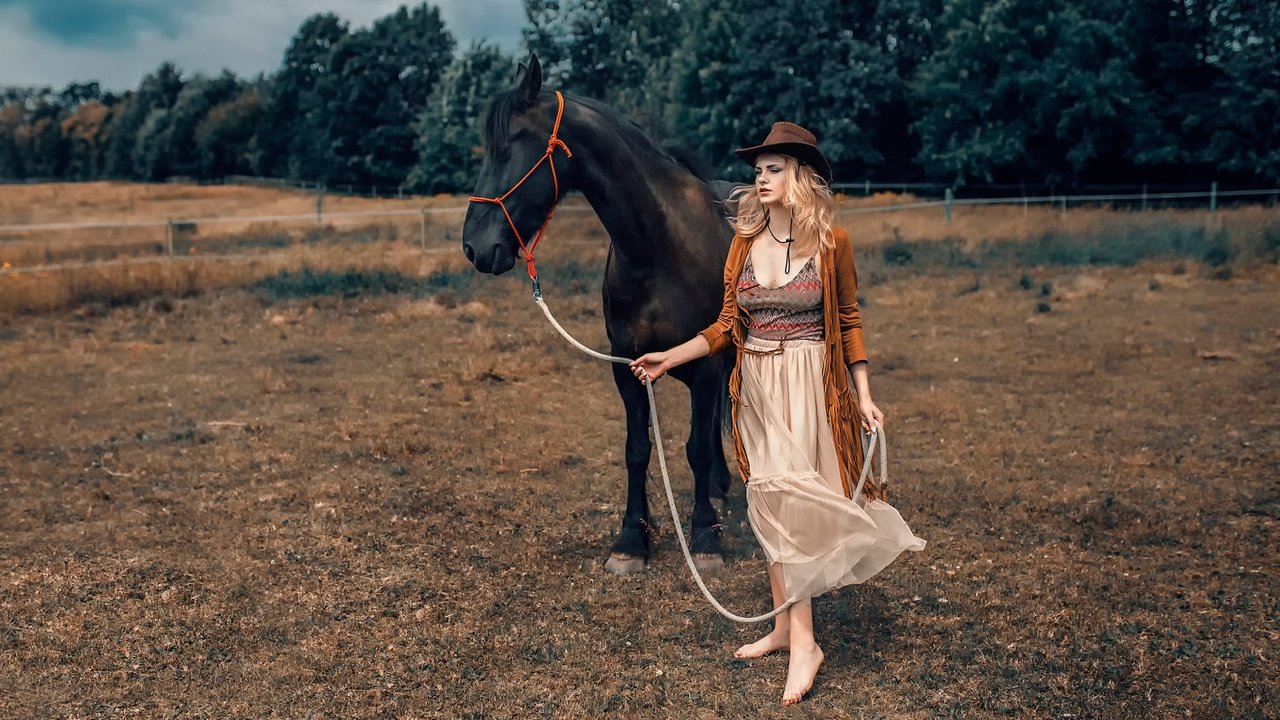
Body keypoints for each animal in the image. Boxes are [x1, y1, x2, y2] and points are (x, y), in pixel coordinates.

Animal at [465, 56, 737, 571]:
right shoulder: (628, 366)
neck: (659, 247)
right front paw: (632, 540)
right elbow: (636, 450)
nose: (473, 246)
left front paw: (705, 538)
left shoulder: (708, 366)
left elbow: (694, 448)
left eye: (509, 147)